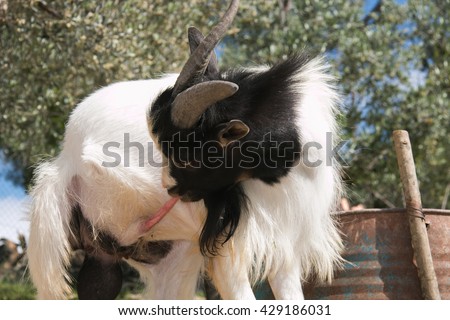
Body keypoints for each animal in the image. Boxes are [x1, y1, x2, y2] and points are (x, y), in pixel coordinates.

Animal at [28, 0, 342, 300]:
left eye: (188, 158)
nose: (170, 188)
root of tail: (68, 153)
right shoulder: (227, 244)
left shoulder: (286, 242)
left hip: (148, 257)